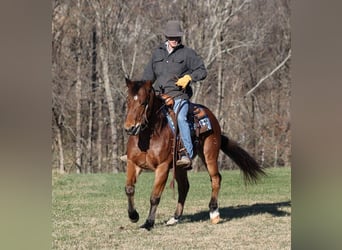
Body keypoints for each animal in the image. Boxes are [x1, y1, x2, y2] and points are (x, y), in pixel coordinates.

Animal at [122, 78, 264, 230]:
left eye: (143, 102)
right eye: (128, 101)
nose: (130, 128)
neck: (150, 135)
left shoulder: (162, 167)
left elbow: (154, 197)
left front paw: (148, 222)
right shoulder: (133, 163)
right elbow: (129, 189)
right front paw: (133, 216)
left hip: (209, 155)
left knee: (216, 178)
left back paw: (214, 213)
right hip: (180, 166)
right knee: (184, 187)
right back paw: (175, 217)